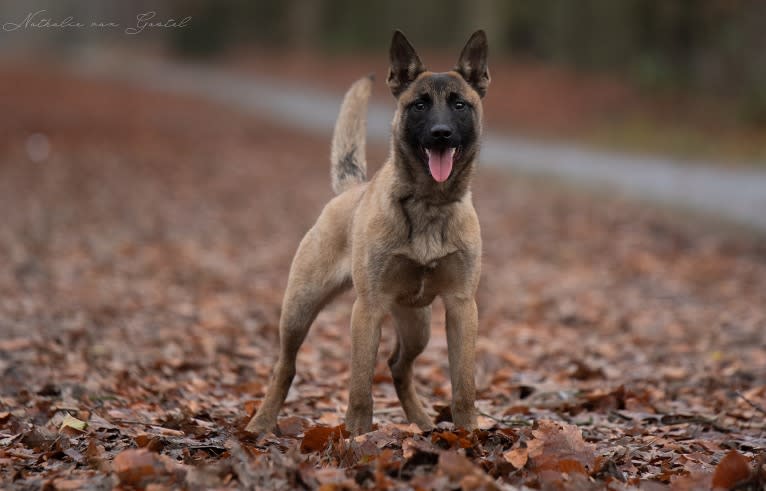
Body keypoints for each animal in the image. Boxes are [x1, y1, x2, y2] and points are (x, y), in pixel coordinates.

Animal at [249, 29, 492, 434]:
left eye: (459, 104)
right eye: (420, 105)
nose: (441, 135)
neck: (428, 204)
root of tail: (350, 190)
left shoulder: (461, 307)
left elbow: (464, 386)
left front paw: (468, 435)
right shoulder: (368, 309)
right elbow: (360, 386)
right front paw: (357, 437)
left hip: (418, 327)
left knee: (398, 366)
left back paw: (423, 424)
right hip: (299, 308)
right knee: (285, 366)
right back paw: (261, 422)